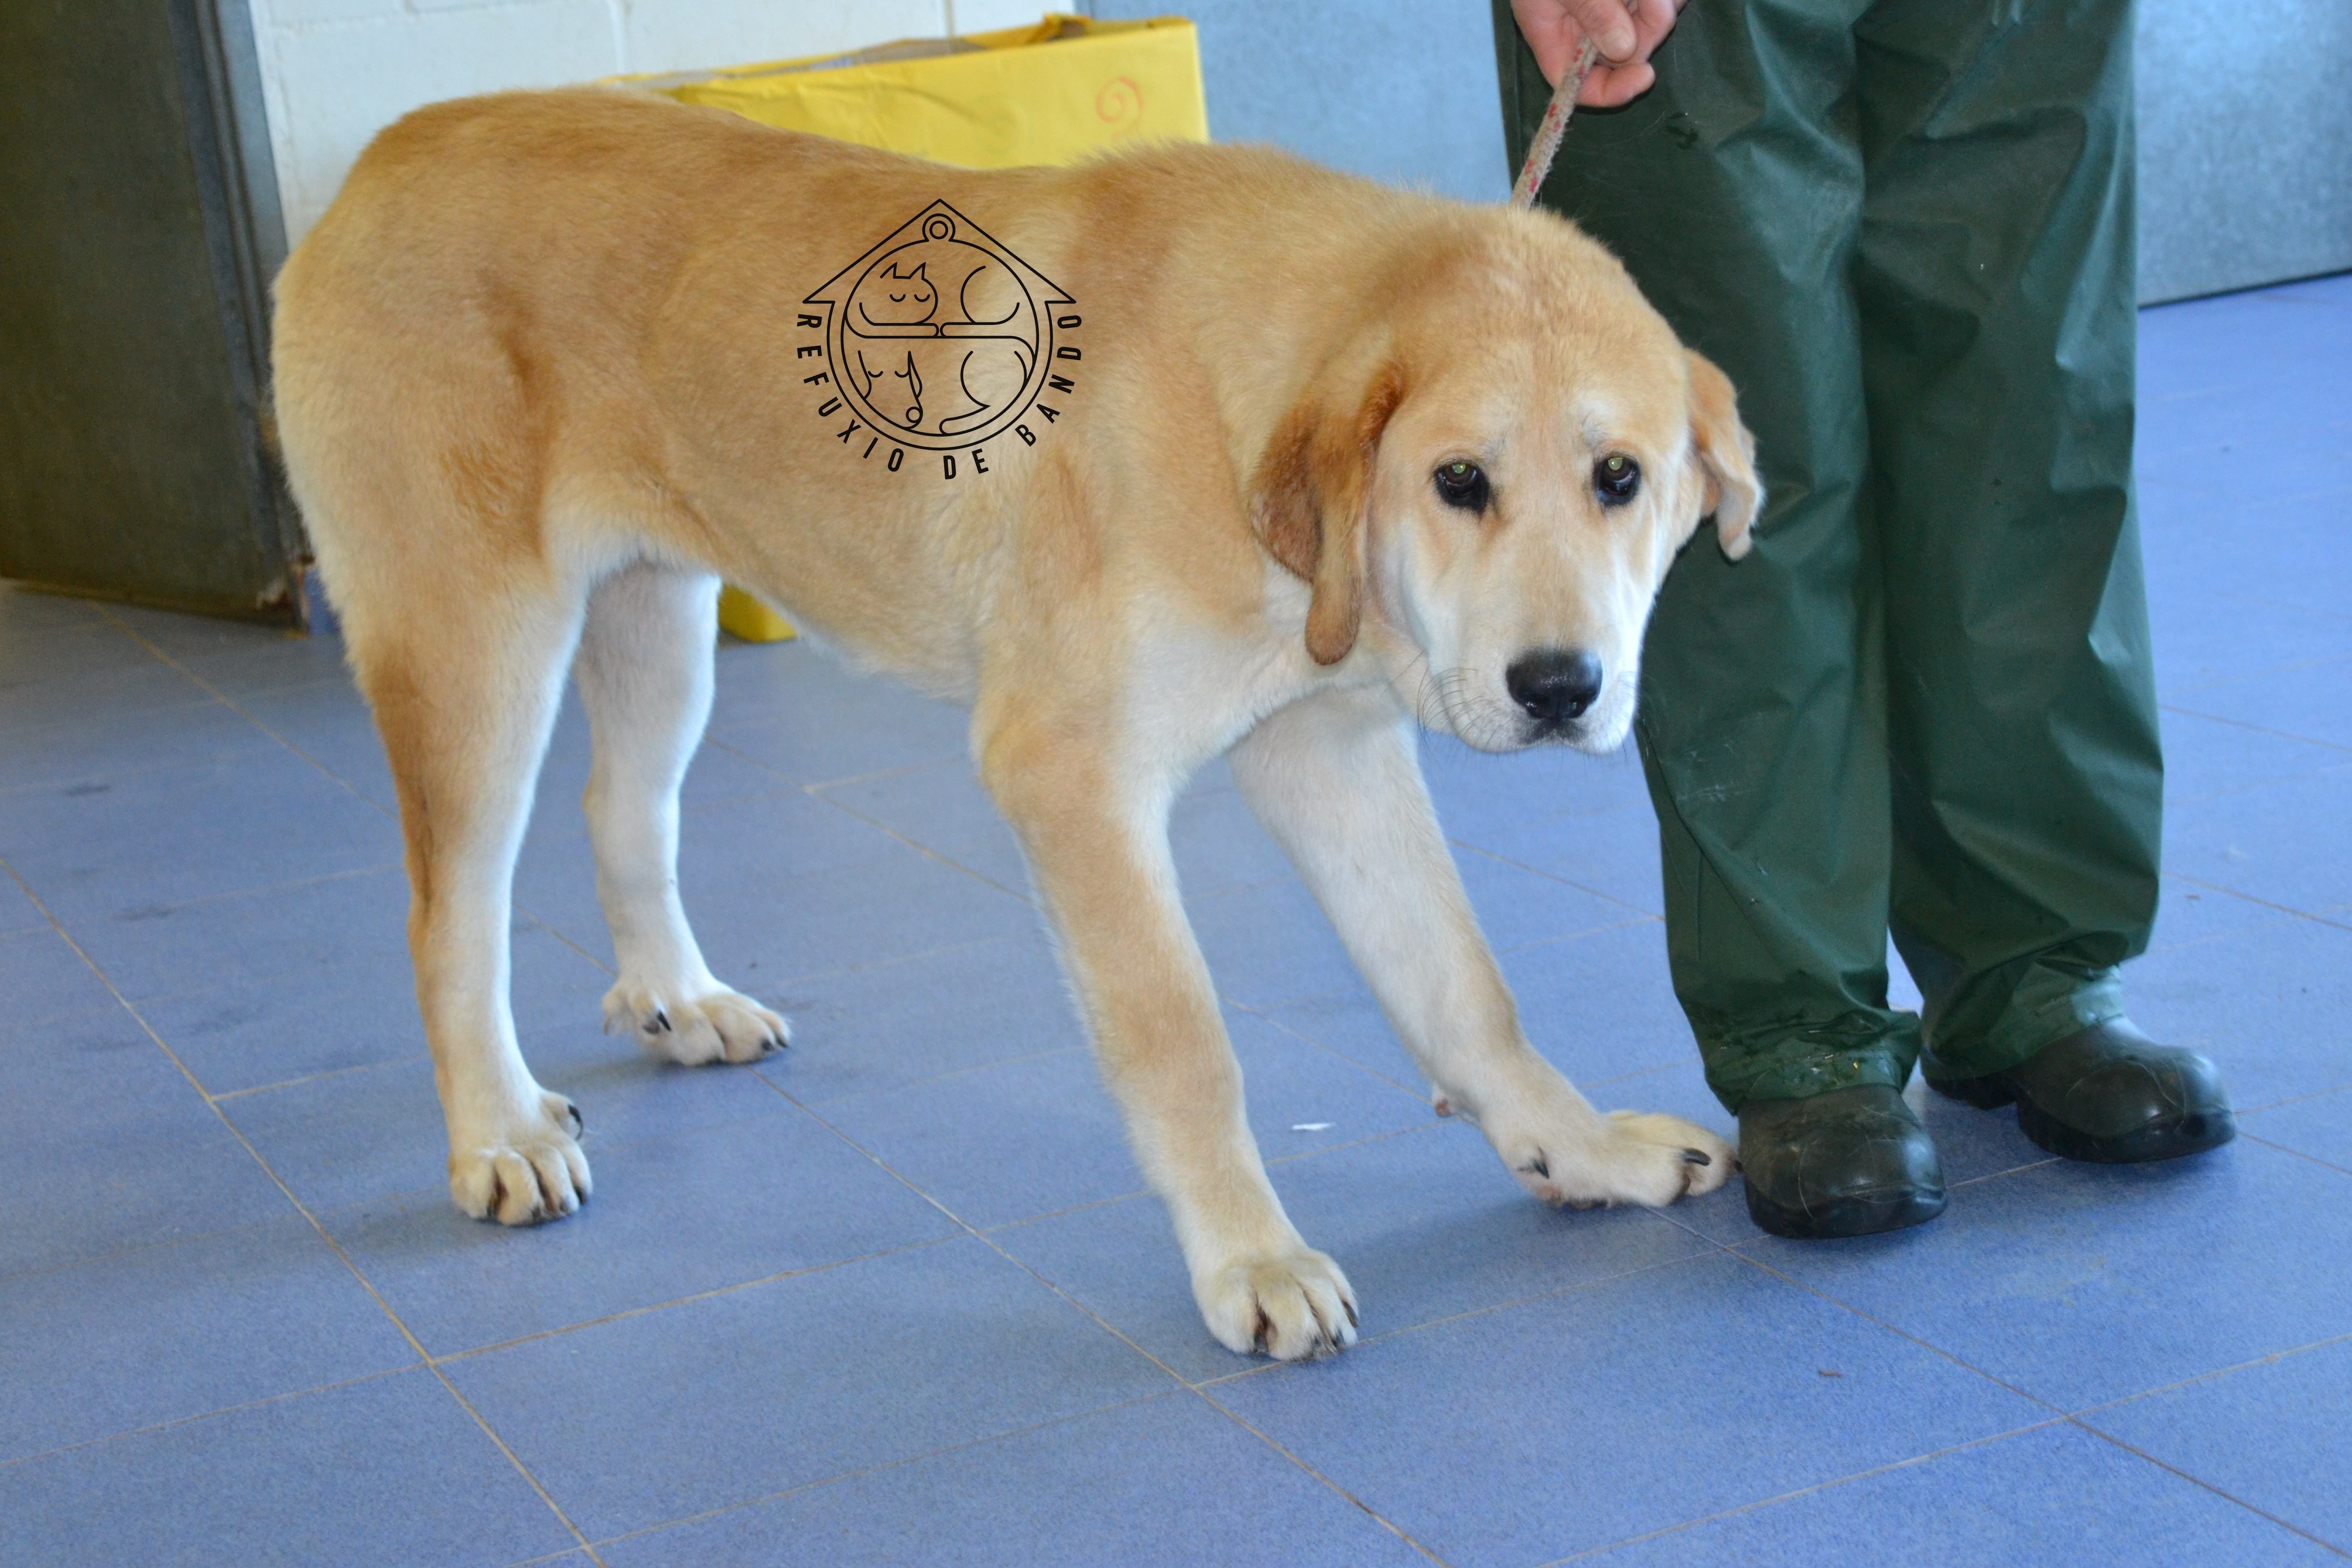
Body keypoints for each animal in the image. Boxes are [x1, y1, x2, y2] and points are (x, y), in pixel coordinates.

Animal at [271, 86, 1760, 1362]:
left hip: (657, 620)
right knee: (450, 912)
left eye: (1618, 476)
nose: (1560, 687)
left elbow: (1462, 987)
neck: (1229, 405)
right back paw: (499, 1131)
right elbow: (1181, 1041)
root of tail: (385, 154)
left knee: (621, 812)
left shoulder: (1324, 750)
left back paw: (679, 1000)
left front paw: (1575, 1147)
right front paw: (1250, 1257)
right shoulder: (1069, 776)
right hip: (476, 650)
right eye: (1457, 480)